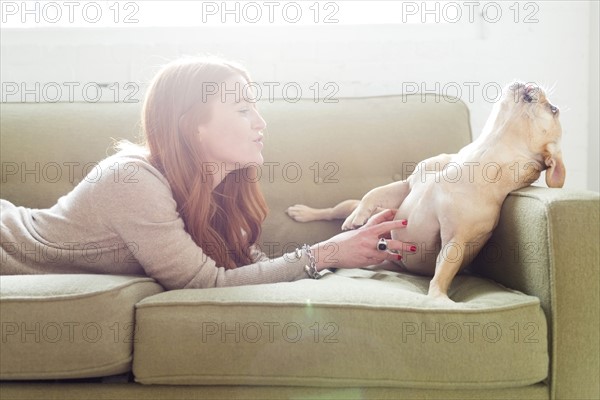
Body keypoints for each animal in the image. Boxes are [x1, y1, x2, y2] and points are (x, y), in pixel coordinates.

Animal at [288, 82, 564, 300]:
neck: (481, 155)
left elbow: (443, 272)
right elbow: (375, 193)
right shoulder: (407, 185)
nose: (533, 82)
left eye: (553, 109)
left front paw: (437, 297)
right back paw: (310, 212)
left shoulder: (455, 239)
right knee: (339, 208)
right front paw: (358, 216)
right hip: (352, 206)